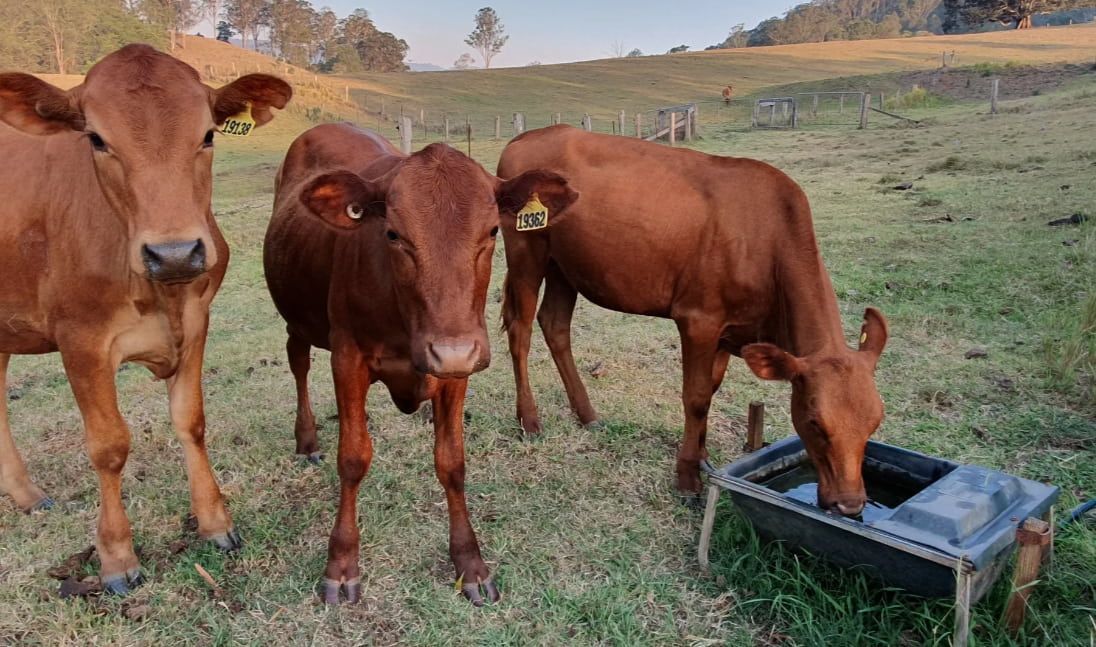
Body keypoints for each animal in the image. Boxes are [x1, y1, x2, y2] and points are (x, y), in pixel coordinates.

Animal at [0, 45, 291, 594]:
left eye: (208, 134)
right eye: (96, 139)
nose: (173, 253)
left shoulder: (196, 321)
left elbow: (190, 421)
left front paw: (215, 522)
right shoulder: (81, 340)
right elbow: (109, 445)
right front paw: (116, 556)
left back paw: (26, 495)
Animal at [264, 122, 577, 605]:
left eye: (492, 231)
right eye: (393, 234)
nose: (452, 351)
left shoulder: (457, 368)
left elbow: (452, 462)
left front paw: (470, 563)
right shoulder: (348, 358)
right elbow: (352, 457)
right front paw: (341, 564)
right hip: (297, 316)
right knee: (297, 361)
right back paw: (307, 438)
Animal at [497, 125, 889, 517]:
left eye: (875, 422)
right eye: (814, 422)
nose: (850, 504)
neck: (767, 241)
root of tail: (529, 135)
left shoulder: (731, 331)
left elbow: (711, 390)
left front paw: (701, 456)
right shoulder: (698, 319)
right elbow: (697, 397)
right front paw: (687, 478)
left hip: (565, 266)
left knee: (555, 324)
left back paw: (587, 414)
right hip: (526, 250)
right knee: (521, 330)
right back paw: (529, 420)